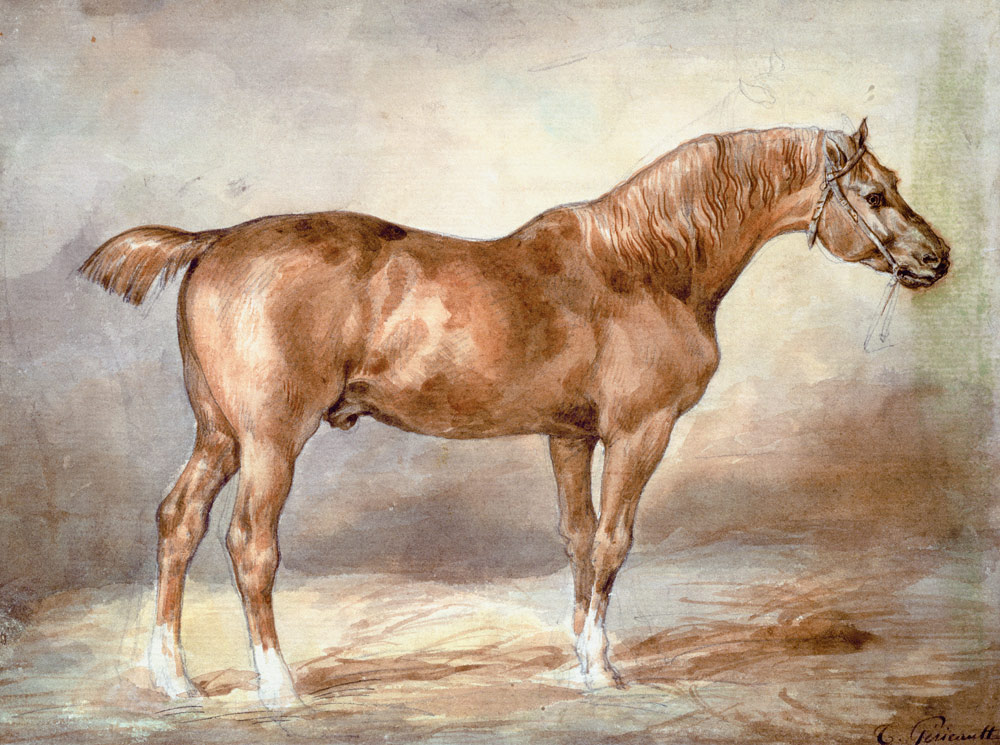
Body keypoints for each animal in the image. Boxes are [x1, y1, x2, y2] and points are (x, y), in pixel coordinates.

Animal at [79, 121, 950, 709]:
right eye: (874, 194)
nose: (936, 259)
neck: (644, 267)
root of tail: (212, 241)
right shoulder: (639, 433)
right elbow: (613, 541)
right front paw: (602, 667)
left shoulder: (569, 437)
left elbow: (578, 540)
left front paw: (576, 658)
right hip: (270, 441)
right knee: (249, 545)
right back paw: (279, 685)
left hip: (219, 436)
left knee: (178, 523)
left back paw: (175, 678)